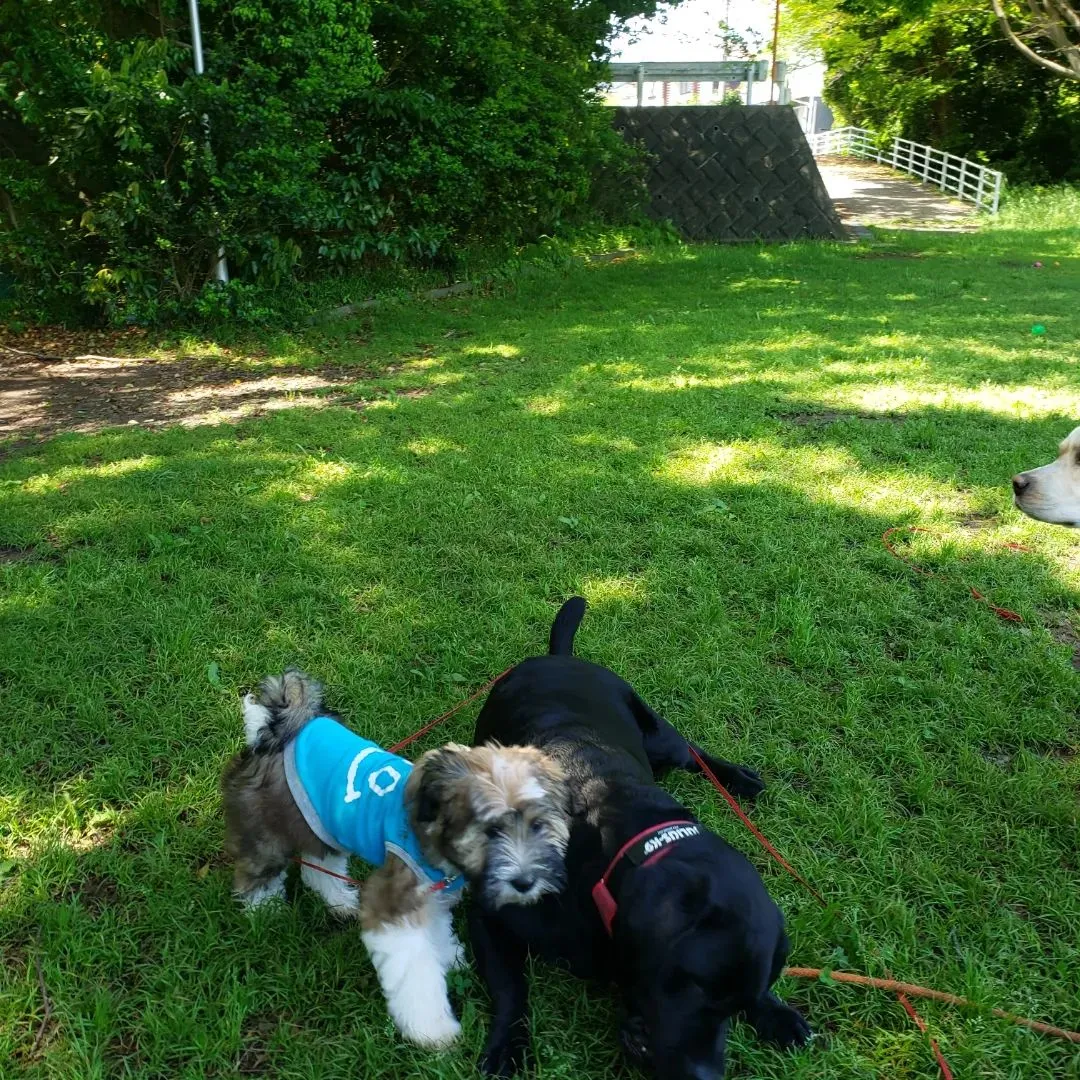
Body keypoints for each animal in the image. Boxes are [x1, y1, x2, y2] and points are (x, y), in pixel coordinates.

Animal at [222, 669, 570, 1049]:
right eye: (491, 830)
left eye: (538, 825)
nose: (524, 882)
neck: (434, 832)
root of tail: (273, 731)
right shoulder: (396, 901)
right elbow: (414, 970)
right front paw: (432, 1030)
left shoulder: (432, 893)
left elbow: (436, 932)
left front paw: (449, 957)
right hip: (266, 834)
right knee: (256, 874)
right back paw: (265, 915)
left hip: (321, 824)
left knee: (321, 866)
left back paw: (339, 900)